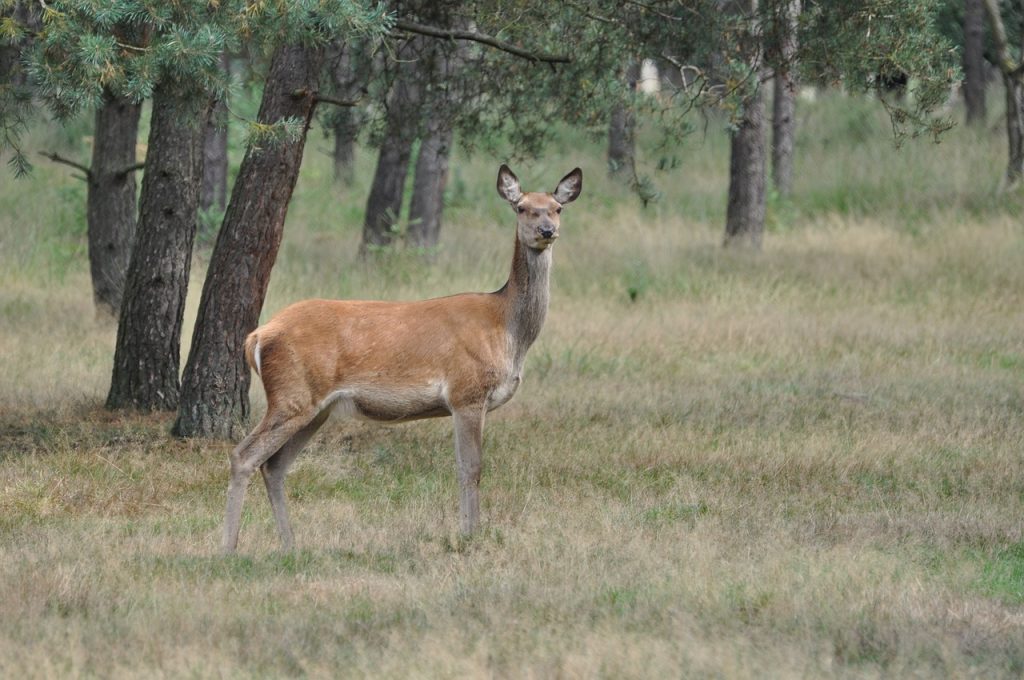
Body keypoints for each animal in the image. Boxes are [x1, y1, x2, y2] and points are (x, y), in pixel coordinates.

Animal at [220, 164, 581, 553]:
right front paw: (470, 536)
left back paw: (291, 545)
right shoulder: (466, 393)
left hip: (316, 408)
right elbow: (470, 468)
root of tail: (258, 336)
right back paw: (229, 548)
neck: (507, 329)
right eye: (522, 207)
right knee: (244, 456)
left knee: (274, 465)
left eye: (557, 207)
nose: (547, 231)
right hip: (292, 395)